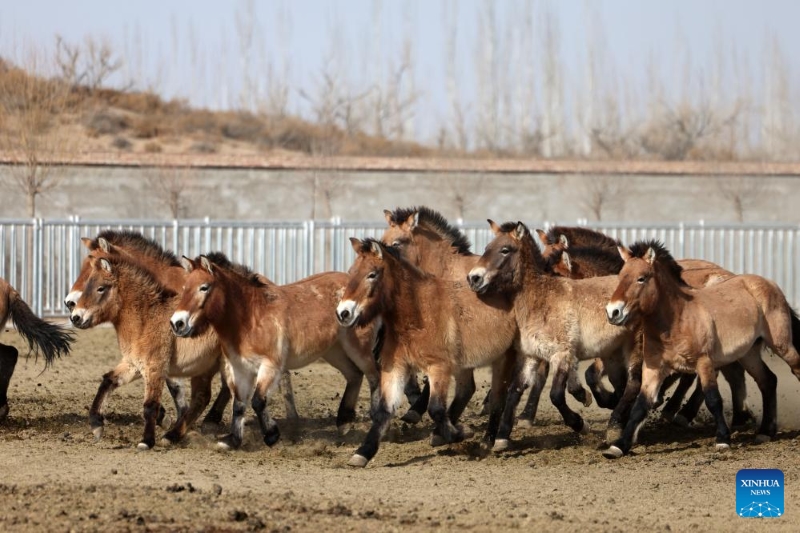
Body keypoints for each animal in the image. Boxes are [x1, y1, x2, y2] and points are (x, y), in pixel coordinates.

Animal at [170, 253, 381, 451]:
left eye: (204, 287)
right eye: (185, 287)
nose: (177, 323)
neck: (251, 317)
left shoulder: (270, 366)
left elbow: (257, 401)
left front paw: (272, 435)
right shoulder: (240, 368)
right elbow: (239, 404)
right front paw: (232, 440)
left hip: (358, 349)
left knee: (374, 376)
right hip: (334, 351)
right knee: (355, 375)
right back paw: (344, 423)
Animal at [336, 238, 519, 467]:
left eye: (372, 274)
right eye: (351, 271)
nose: (343, 313)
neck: (418, 313)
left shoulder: (438, 367)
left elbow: (436, 409)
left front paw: (461, 433)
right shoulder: (396, 368)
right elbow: (384, 411)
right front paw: (363, 453)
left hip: (504, 359)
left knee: (498, 398)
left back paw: (488, 441)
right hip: (463, 365)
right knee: (467, 390)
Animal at [468, 221, 638, 450]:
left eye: (505, 250)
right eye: (487, 248)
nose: (473, 278)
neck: (541, 299)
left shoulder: (562, 355)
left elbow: (556, 395)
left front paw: (580, 424)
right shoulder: (531, 355)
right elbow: (515, 389)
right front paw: (502, 437)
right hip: (613, 356)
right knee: (623, 386)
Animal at [603, 240, 800, 458]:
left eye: (641, 278)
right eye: (621, 276)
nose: (613, 312)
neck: (677, 320)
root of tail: (769, 283)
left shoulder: (704, 362)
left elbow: (713, 398)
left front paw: (722, 439)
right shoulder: (653, 369)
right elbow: (640, 405)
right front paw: (618, 446)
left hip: (782, 346)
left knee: (795, 368)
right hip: (748, 355)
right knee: (768, 381)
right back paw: (766, 432)